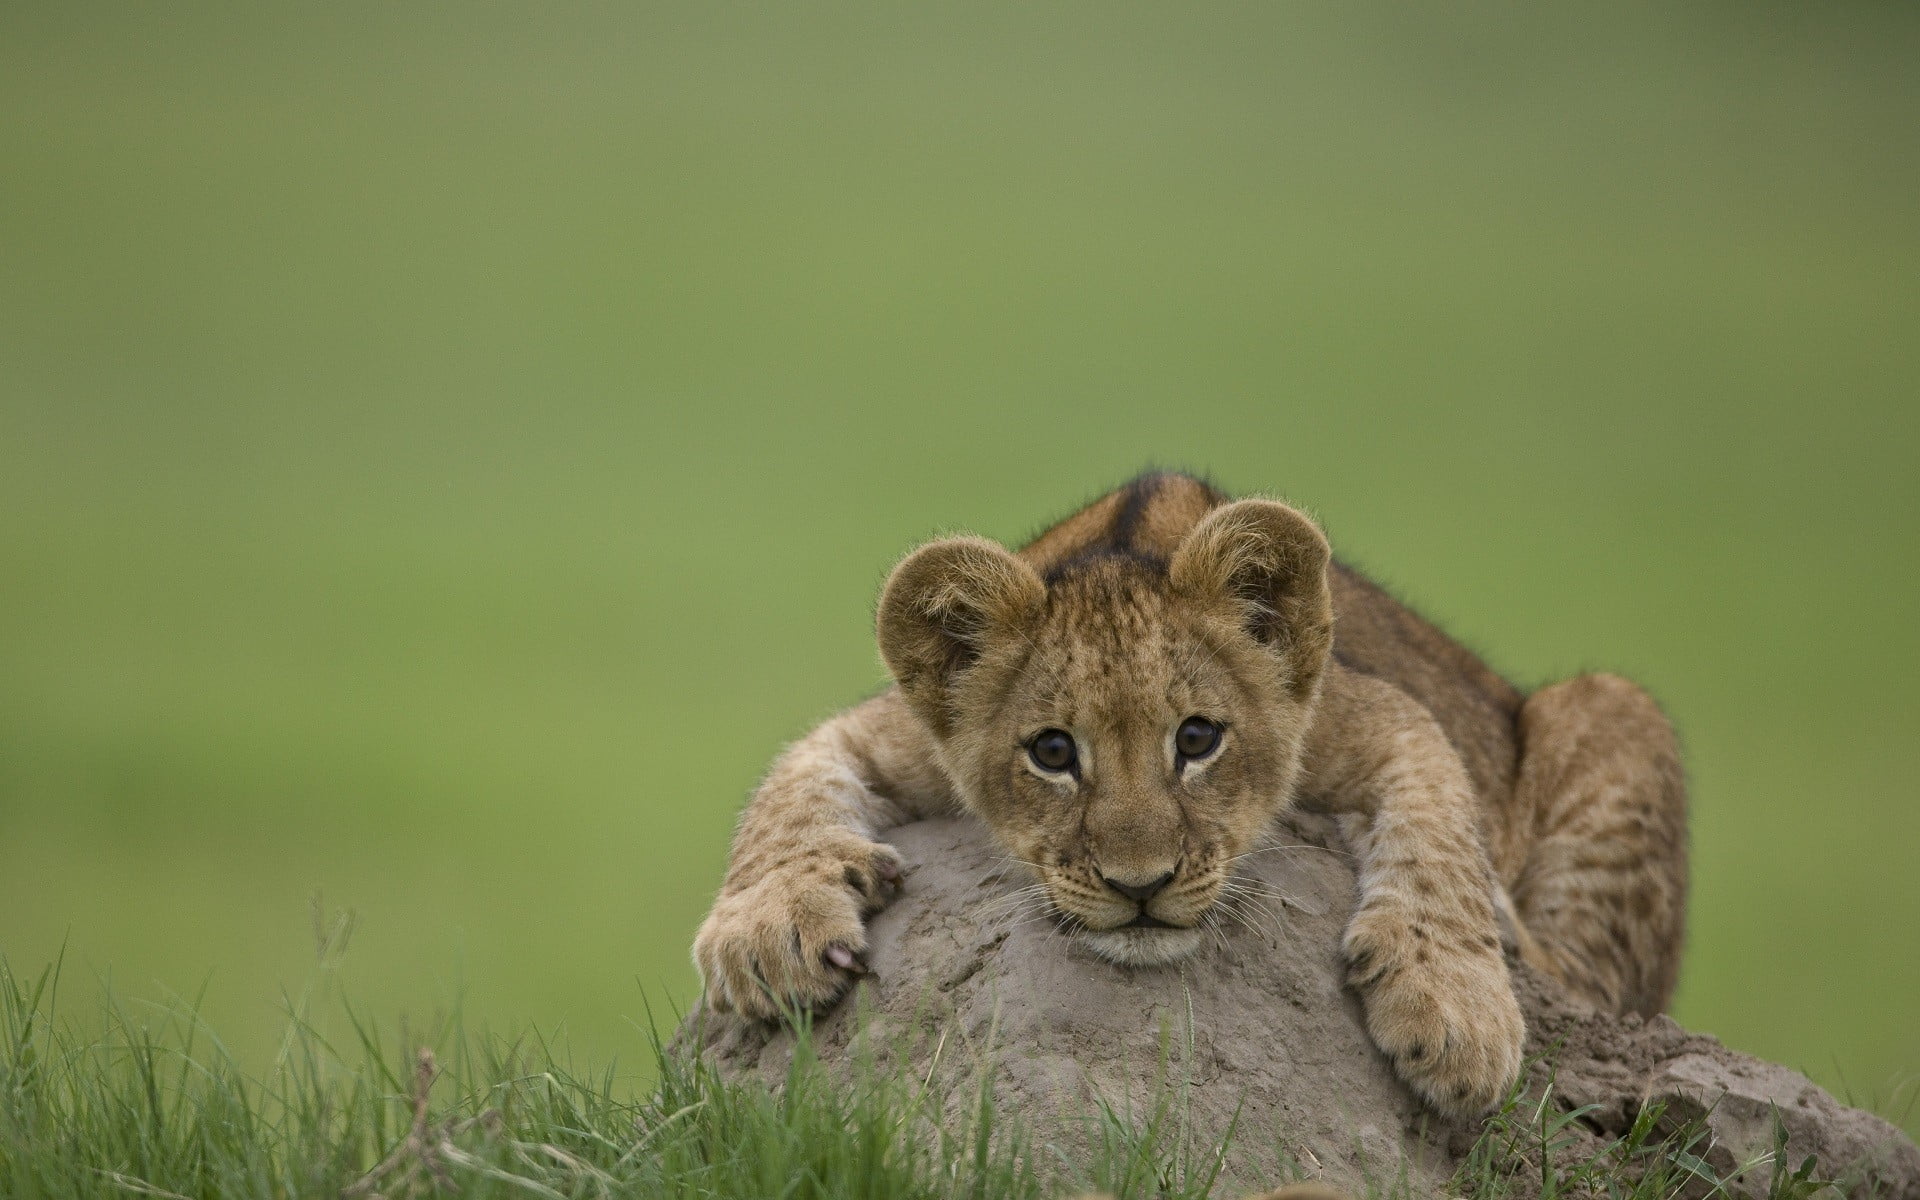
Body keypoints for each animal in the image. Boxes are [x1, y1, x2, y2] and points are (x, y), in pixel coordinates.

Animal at [691, 472, 1688, 1116]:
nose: (1141, 886)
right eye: (1053, 752)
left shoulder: (1379, 712)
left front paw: (1455, 1008)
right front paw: (767, 933)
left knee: (1595, 984)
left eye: (1199, 739)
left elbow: (1441, 828)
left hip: (1616, 706)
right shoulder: (888, 731)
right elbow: (787, 789)